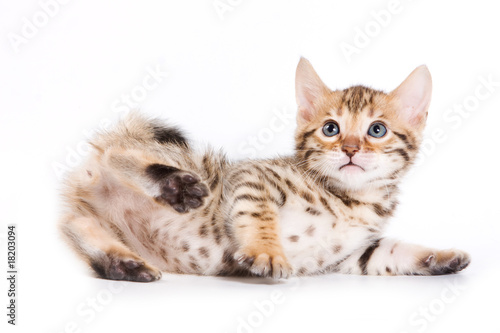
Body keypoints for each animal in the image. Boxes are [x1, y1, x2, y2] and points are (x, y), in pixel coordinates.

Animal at [58, 57, 468, 280]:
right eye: (330, 129)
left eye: (377, 130)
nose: (350, 149)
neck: (353, 200)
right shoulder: (251, 178)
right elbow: (258, 215)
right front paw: (267, 252)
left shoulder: (352, 255)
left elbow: (390, 252)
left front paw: (438, 257)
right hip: (193, 165)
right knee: (116, 157)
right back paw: (173, 185)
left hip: (99, 222)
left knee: (79, 226)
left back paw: (123, 264)